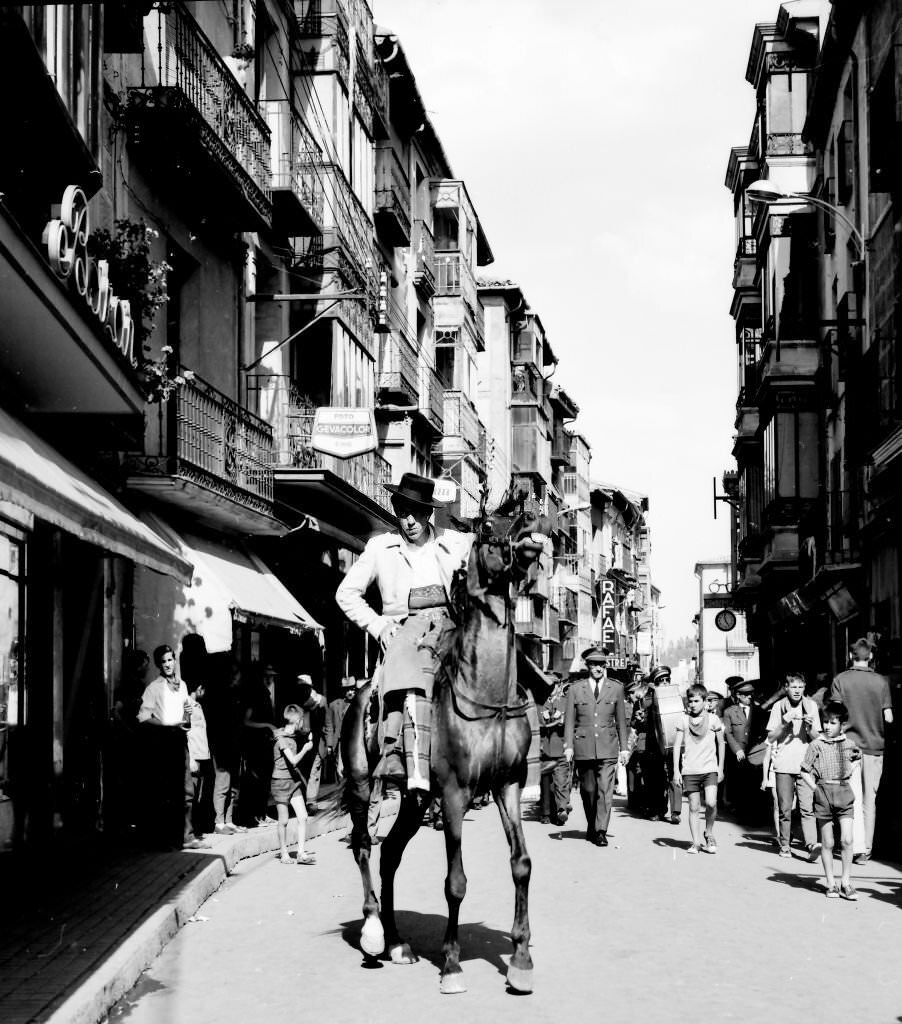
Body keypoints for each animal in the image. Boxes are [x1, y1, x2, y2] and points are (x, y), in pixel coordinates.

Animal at [337, 499, 548, 995]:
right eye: (489, 525)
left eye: (521, 514)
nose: (534, 519)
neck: (486, 693)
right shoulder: (454, 793)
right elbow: (456, 881)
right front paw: (452, 964)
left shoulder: (509, 785)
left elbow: (522, 864)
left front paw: (521, 960)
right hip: (361, 785)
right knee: (363, 846)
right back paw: (373, 933)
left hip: (415, 801)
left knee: (390, 855)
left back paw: (397, 942)